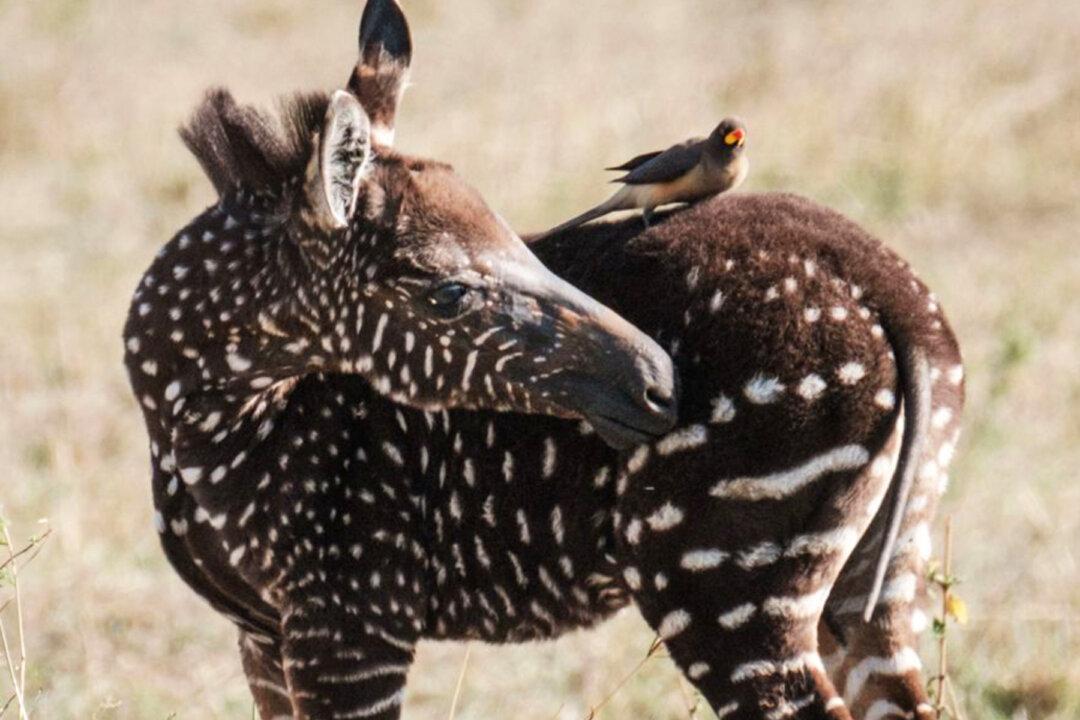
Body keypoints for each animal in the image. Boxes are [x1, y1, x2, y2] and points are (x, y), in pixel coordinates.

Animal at [123, 2, 964, 719]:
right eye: (449, 293)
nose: (662, 385)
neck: (207, 422)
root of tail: (880, 283)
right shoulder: (265, 637)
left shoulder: (352, 619)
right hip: (875, 570)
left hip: (722, 580)